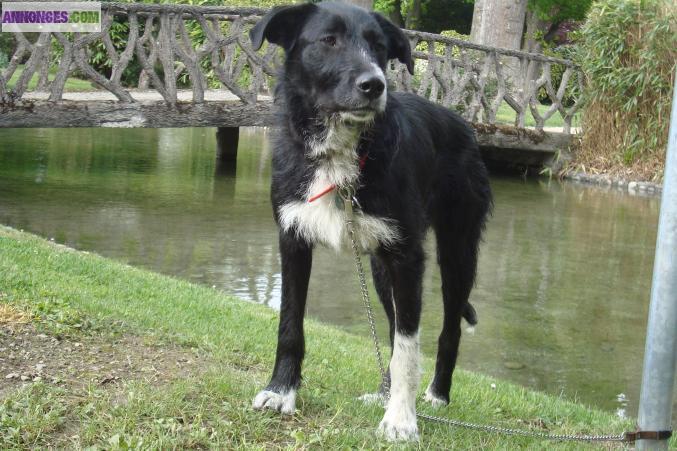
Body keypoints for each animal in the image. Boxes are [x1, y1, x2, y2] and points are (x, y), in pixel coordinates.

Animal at [248, 2, 492, 442]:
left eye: (379, 46)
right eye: (328, 40)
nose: (374, 85)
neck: (341, 148)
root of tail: (464, 125)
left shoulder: (408, 258)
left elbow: (409, 347)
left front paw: (401, 419)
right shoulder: (292, 237)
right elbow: (290, 324)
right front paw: (281, 391)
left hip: (457, 251)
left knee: (446, 331)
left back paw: (437, 396)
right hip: (381, 268)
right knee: (394, 327)